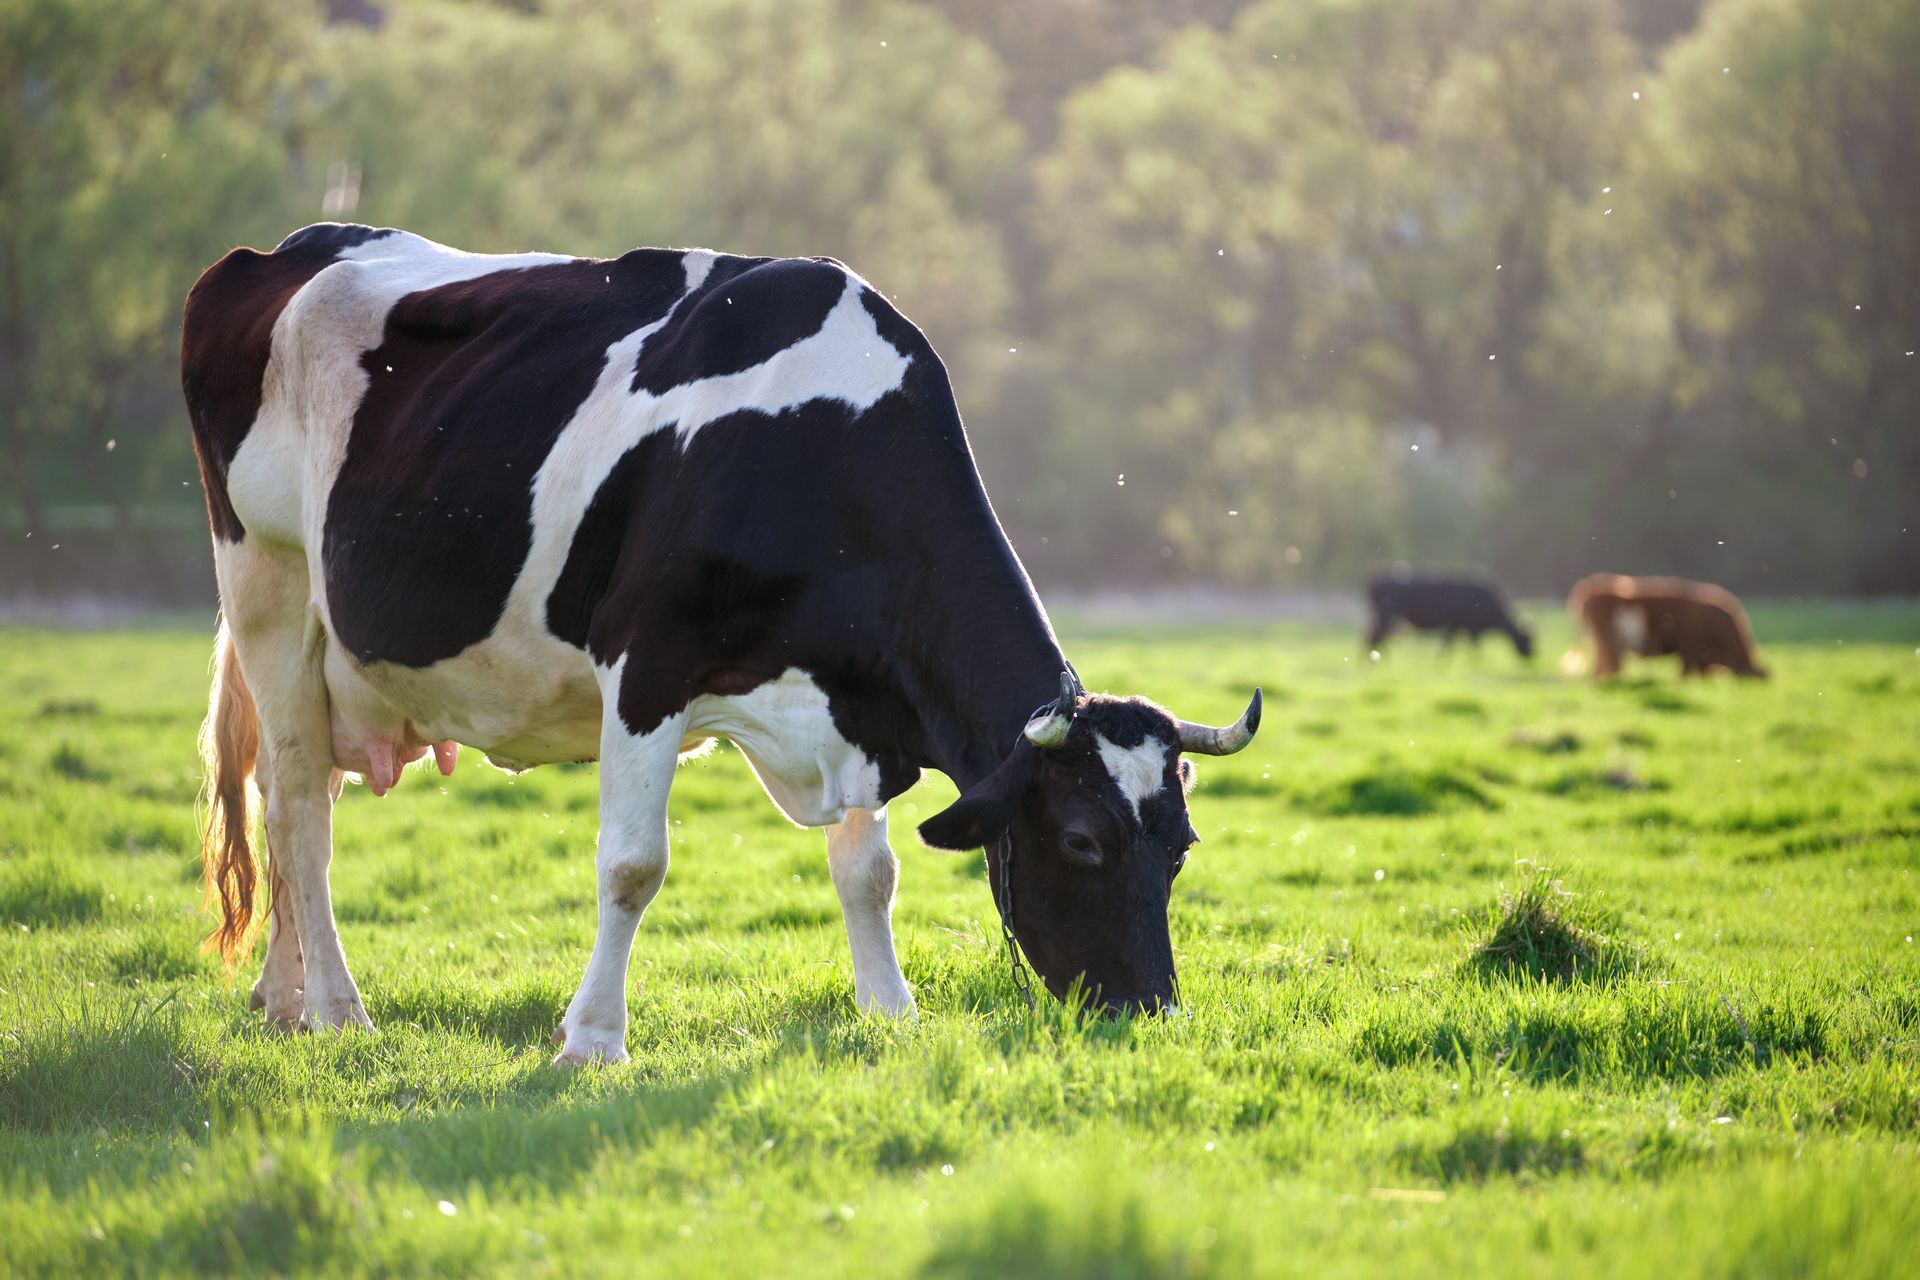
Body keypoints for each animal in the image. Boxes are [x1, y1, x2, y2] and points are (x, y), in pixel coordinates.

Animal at [181, 223, 1262, 1063]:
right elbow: (632, 865)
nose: (1153, 1009)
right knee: (295, 808)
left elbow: (870, 873)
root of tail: (286, 250)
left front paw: (891, 1012)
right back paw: (337, 1010)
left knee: (299, 795)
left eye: (1181, 844)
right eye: (1081, 840)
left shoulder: (853, 700)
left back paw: (280, 1000)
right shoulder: (646, 667)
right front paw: (592, 1040)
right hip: (269, 586)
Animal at [1365, 572, 1533, 659]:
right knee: (1377, 635)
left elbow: (1451, 644)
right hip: (1388, 617)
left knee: (1374, 635)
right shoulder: (1465, 626)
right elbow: (1466, 645)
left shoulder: (1458, 626)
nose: (1531, 656)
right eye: (1526, 640)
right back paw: (1382, 658)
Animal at [1568, 573, 1767, 679]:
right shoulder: (1689, 647)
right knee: (1608, 669)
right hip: (1607, 644)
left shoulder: (1697, 655)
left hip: (1607, 646)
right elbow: (1685, 674)